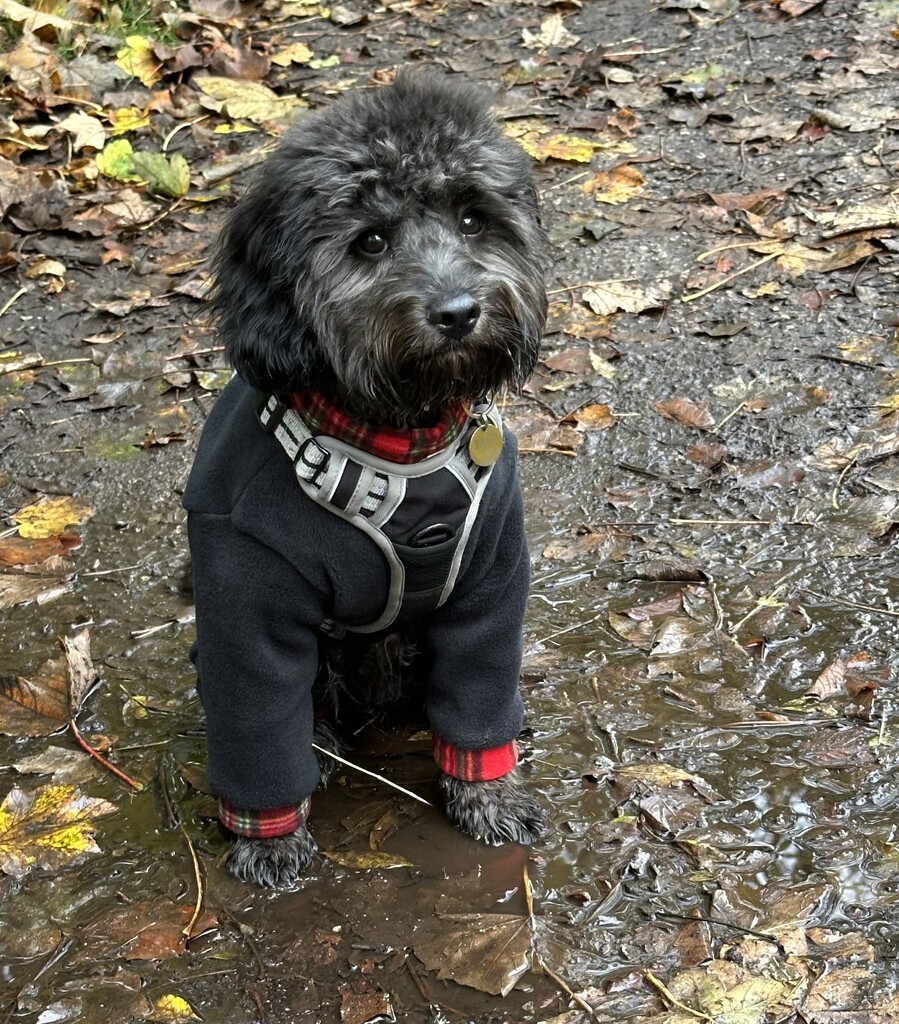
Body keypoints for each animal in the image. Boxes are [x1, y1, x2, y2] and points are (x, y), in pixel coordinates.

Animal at [183, 74, 548, 888]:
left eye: (474, 218)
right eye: (370, 241)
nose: (457, 312)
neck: (402, 439)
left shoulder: (491, 580)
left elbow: (479, 695)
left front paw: (489, 793)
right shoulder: (244, 604)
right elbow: (257, 727)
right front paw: (270, 840)